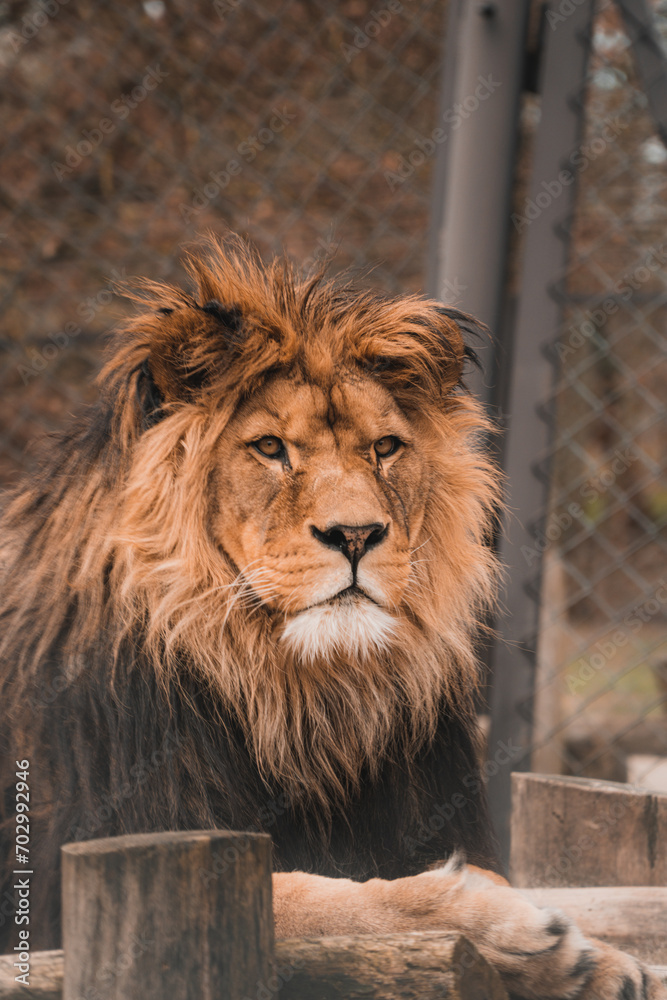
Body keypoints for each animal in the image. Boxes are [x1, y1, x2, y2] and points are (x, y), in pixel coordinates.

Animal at [0, 237, 663, 999]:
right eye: (269, 448)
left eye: (384, 448)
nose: (355, 535)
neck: (302, 699)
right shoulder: (74, 881)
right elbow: (312, 899)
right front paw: (524, 932)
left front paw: (610, 966)